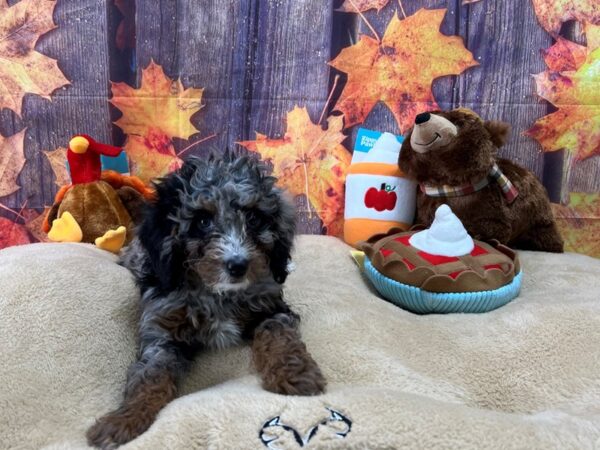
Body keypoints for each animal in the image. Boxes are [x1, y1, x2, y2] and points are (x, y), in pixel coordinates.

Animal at [86, 153, 326, 448]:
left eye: (254, 218)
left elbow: (279, 336)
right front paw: (124, 419)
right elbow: (150, 374)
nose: (238, 265)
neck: (218, 294)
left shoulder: (272, 308)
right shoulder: (162, 330)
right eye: (202, 222)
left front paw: (296, 375)